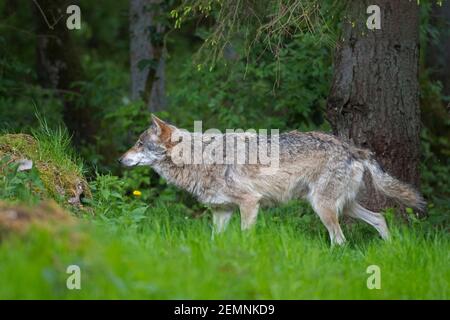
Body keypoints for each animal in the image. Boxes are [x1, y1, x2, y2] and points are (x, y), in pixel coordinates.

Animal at [119, 115, 426, 245]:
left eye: (139, 143)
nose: (120, 159)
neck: (199, 158)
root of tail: (354, 149)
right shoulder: (222, 211)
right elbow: (214, 242)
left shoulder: (249, 203)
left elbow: (245, 237)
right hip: (343, 206)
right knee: (379, 219)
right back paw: (390, 251)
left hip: (323, 207)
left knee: (340, 239)